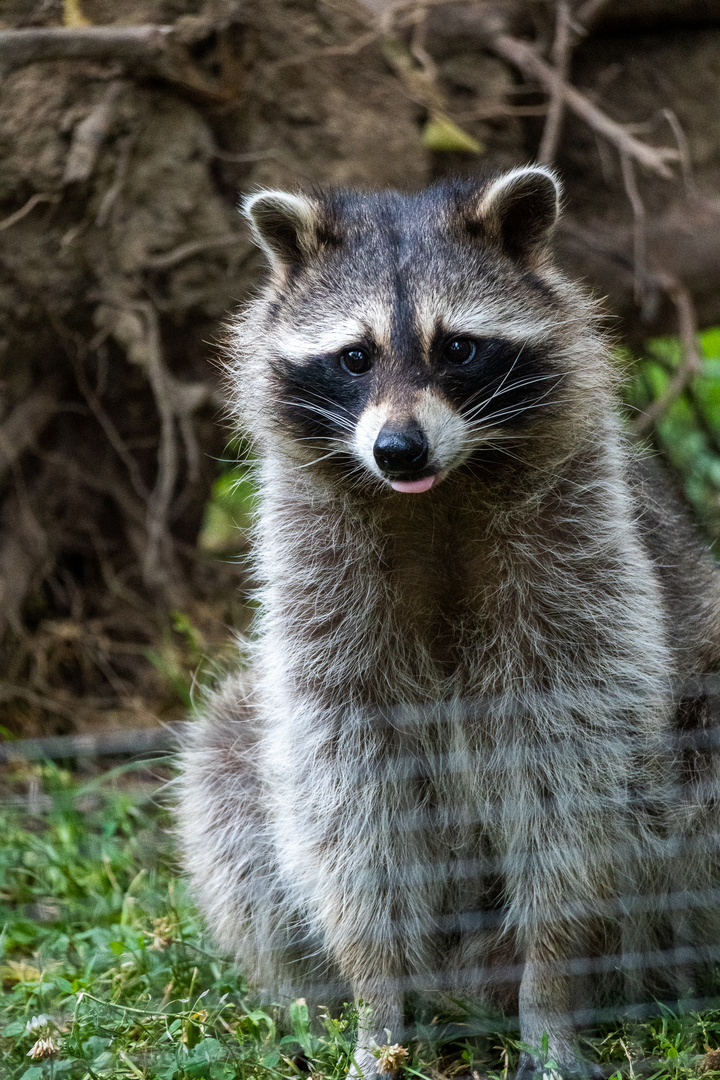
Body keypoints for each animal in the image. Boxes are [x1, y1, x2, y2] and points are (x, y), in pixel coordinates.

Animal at [177, 170, 720, 1080]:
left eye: (458, 349)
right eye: (355, 356)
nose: (399, 449)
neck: (439, 490)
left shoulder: (582, 561)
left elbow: (571, 770)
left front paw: (552, 984)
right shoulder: (316, 577)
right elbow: (347, 789)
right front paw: (377, 999)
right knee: (225, 762)